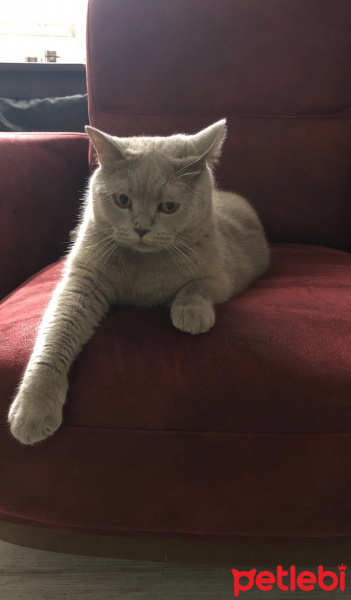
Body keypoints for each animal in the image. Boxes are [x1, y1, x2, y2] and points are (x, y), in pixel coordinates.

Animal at [7, 119, 270, 442]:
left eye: (169, 206)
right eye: (122, 200)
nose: (141, 228)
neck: (143, 265)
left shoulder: (220, 275)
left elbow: (197, 286)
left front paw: (191, 314)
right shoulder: (82, 281)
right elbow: (56, 333)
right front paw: (33, 407)